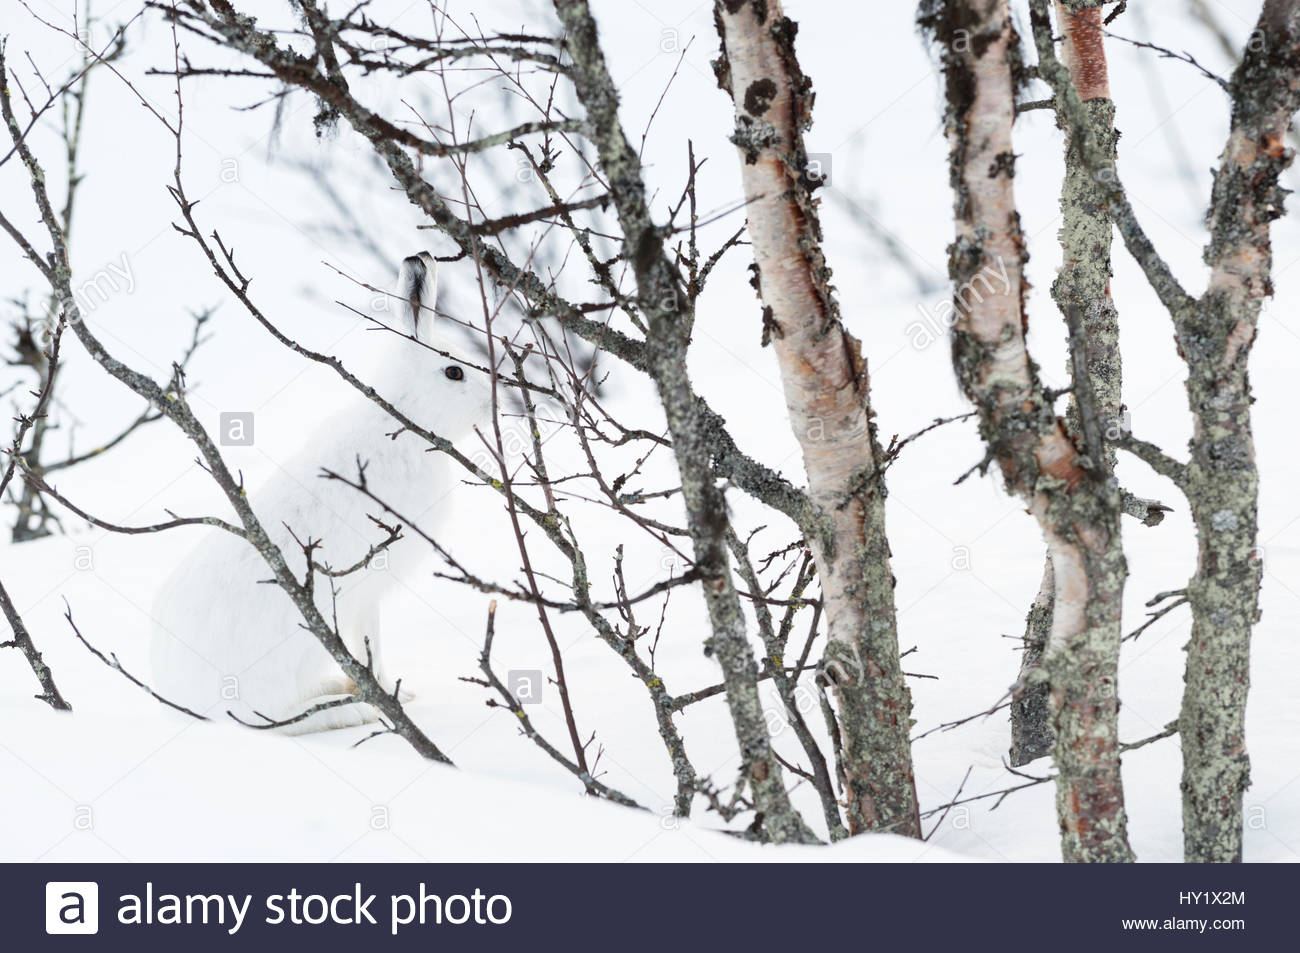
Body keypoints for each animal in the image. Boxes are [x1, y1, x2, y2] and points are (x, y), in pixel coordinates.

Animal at [150, 252, 494, 734]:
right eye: (454, 372)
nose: (495, 401)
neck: (401, 422)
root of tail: (189, 705)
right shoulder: (368, 589)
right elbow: (373, 648)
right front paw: (393, 698)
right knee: (282, 719)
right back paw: (355, 708)